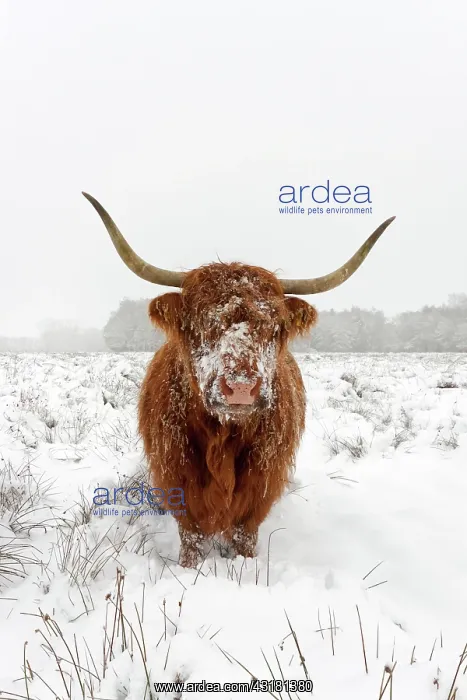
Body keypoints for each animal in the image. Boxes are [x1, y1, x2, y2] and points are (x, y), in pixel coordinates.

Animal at [83, 192, 395, 567]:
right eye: (202, 322)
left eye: (274, 326)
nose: (242, 387)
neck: (223, 436)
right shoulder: (178, 478)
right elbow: (191, 537)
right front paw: (188, 569)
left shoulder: (261, 483)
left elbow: (246, 534)